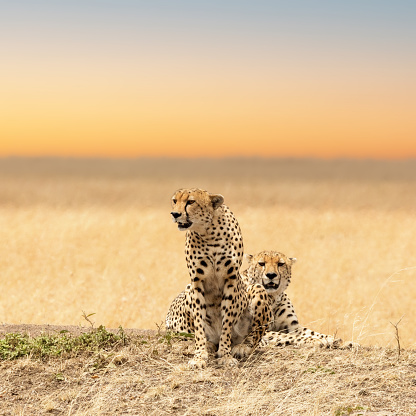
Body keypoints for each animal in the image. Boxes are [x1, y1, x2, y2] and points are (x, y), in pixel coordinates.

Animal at [167, 188, 272, 368]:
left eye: (190, 202)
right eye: (175, 201)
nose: (175, 214)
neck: (208, 232)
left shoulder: (230, 280)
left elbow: (227, 320)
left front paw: (225, 354)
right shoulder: (196, 282)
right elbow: (199, 323)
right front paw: (199, 355)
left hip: (258, 290)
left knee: (255, 335)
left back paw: (241, 347)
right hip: (187, 289)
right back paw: (206, 345)